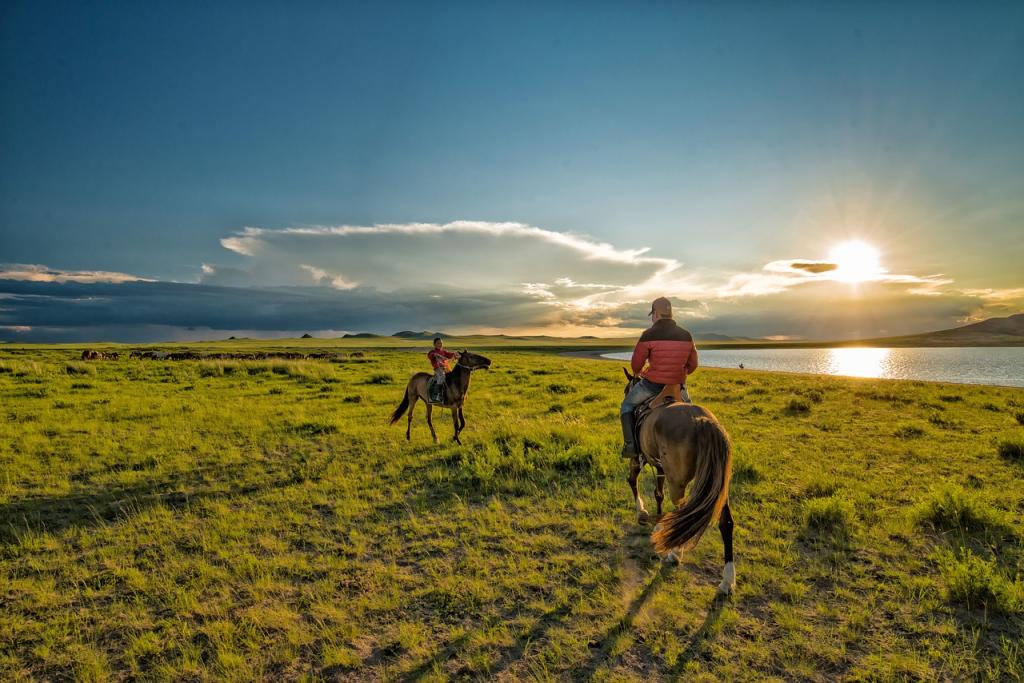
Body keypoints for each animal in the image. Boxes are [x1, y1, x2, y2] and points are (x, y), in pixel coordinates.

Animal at [623, 369, 736, 594]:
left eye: (625, 389)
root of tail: (703, 421)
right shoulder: (659, 466)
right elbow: (658, 494)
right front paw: (658, 524)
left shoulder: (637, 458)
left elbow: (633, 481)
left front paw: (642, 513)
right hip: (719, 487)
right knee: (726, 521)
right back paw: (727, 580)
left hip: (678, 483)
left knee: (683, 514)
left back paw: (675, 554)